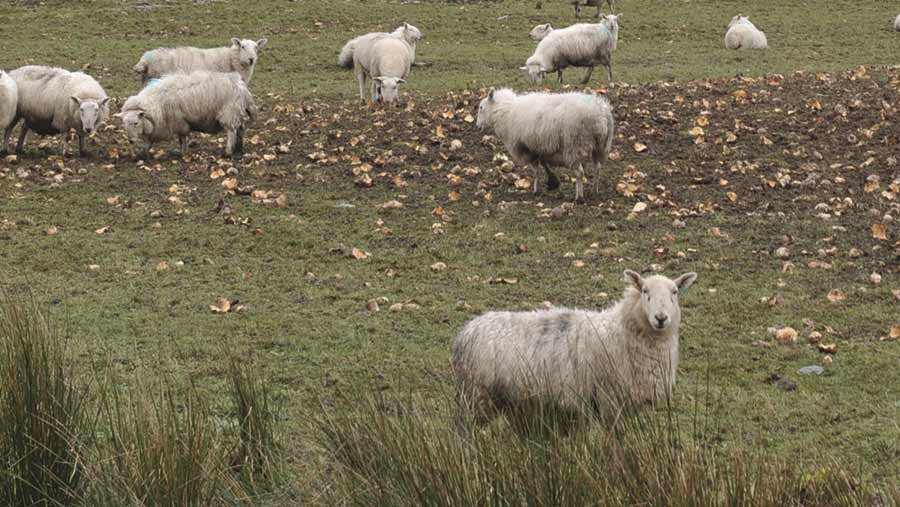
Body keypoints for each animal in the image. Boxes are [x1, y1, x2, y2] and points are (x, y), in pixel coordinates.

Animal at [115, 71, 256, 158]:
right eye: (124, 125)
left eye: (136, 123)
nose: (131, 140)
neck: (157, 103)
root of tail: (242, 86)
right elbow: (149, 142)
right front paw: (142, 154)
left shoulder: (179, 123)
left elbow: (182, 139)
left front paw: (182, 152)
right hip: (236, 112)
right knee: (240, 130)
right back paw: (238, 149)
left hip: (229, 112)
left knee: (231, 132)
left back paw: (228, 152)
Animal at [452, 270, 698, 422]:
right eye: (645, 291)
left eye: (675, 292)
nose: (661, 318)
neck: (622, 330)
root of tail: (465, 332)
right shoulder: (609, 398)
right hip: (476, 395)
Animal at [476, 88, 614, 202]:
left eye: (481, 107)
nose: (477, 126)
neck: (505, 112)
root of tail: (601, 113)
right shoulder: (538, 146)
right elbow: (543, 163)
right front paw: (552, 182)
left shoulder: (527, 148)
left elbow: (536, 170)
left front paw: (537, 190)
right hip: (600, 146)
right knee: (597, 168)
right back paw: (594, 190)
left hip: (574, 145)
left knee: (580, 172)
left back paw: (579, 197)